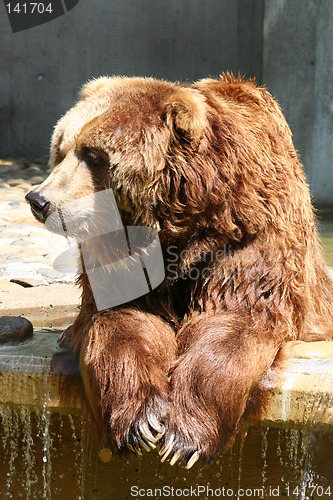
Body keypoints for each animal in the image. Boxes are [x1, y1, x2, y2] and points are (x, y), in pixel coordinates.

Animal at [25, 73, 332, 468]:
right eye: (61, 150)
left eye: (93, 154)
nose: (38, 199)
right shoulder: (120, 253)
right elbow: (123, 320)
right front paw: (141, 423)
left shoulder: (253, 233)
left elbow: (234, 320)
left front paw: (182, 438)